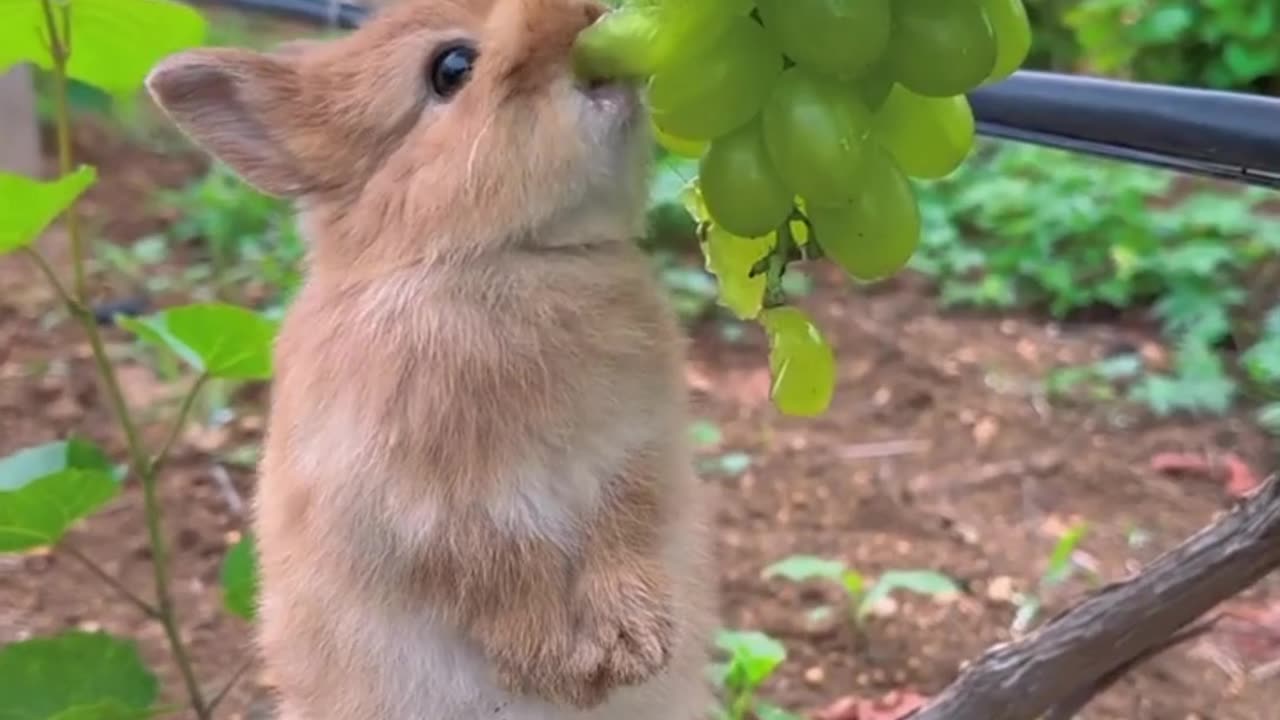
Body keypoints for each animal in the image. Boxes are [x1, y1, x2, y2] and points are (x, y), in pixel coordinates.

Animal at [146, 0, 721, 712]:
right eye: (451, 69)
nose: (587, 17)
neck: (491, 258)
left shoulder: (637, 449)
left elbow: (626, 525)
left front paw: (632, 646)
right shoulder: (419, 508)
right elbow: (494, 569)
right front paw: (554, 664)